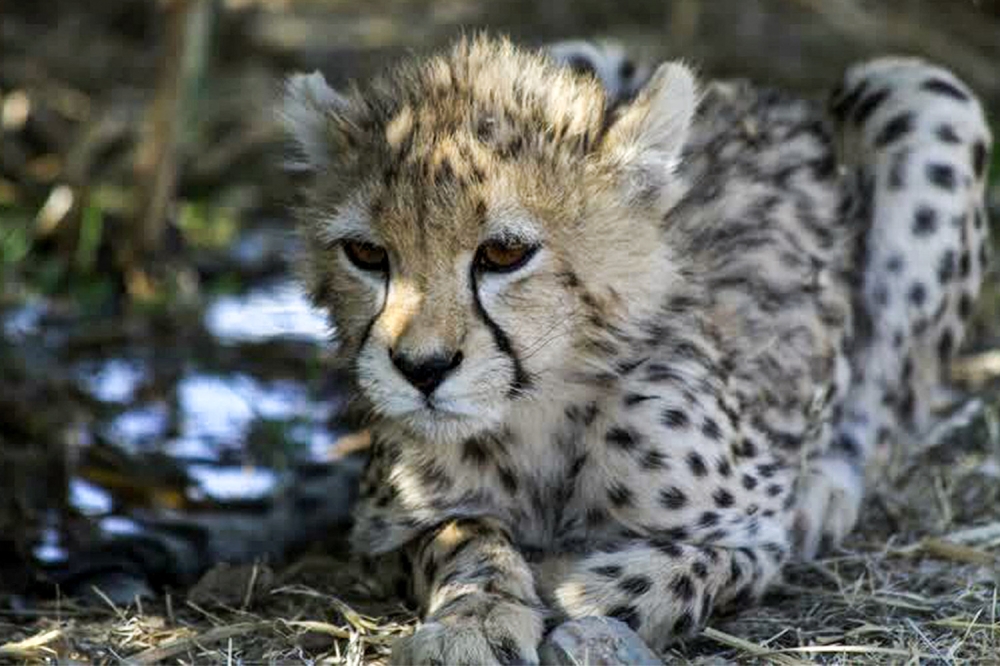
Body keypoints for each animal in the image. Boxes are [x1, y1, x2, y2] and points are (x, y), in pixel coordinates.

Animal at [279, 35, 992, 663]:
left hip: (922, 93)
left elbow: (693, 567)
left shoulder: (758, 531)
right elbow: (461, 535)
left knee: (887, 413)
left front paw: (575, 588)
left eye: (504, 252)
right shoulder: (381, 529)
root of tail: (760, 92)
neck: (537, 413)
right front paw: (476, 617)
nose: (420, 369)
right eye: (366, 254)